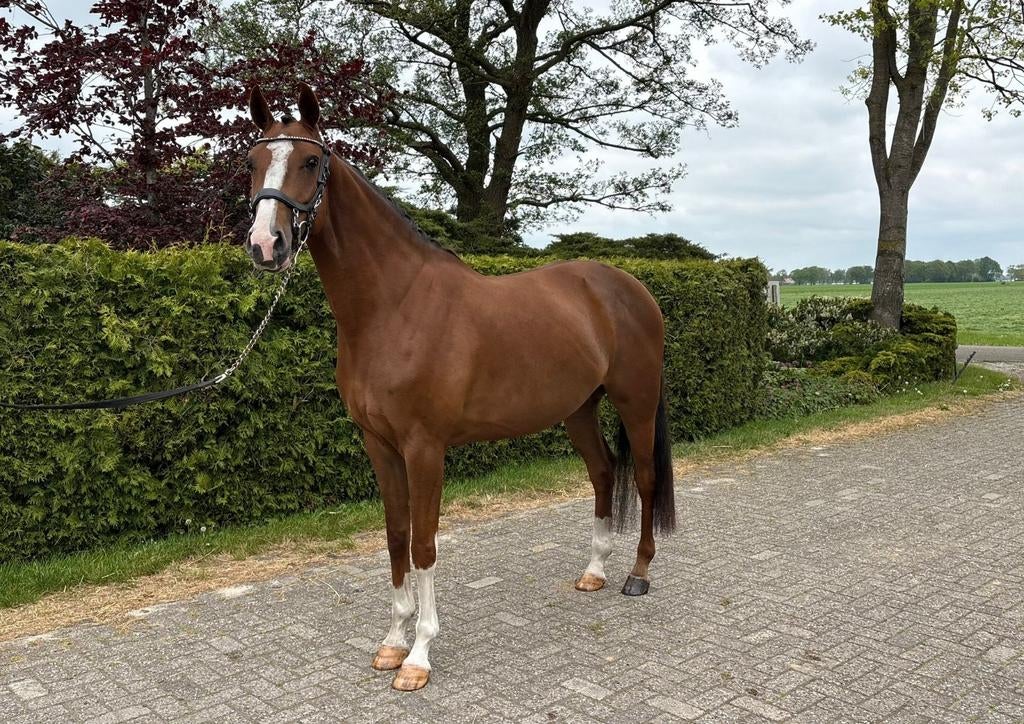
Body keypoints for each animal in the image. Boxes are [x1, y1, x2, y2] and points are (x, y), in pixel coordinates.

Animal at [244, 83, 676, 691]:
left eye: (309, 161)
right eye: (252, 163)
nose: (267, 243)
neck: (394, 306)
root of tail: (632, 288)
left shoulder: (425, 448)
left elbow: (424, 543)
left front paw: (419, 656)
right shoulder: (379, 446)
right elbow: (396, 536)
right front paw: (392, 642)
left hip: (635, 401)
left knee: (642, 476)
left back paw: (636, 574)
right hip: (578, 409)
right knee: (602, 472)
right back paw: (593, 570)